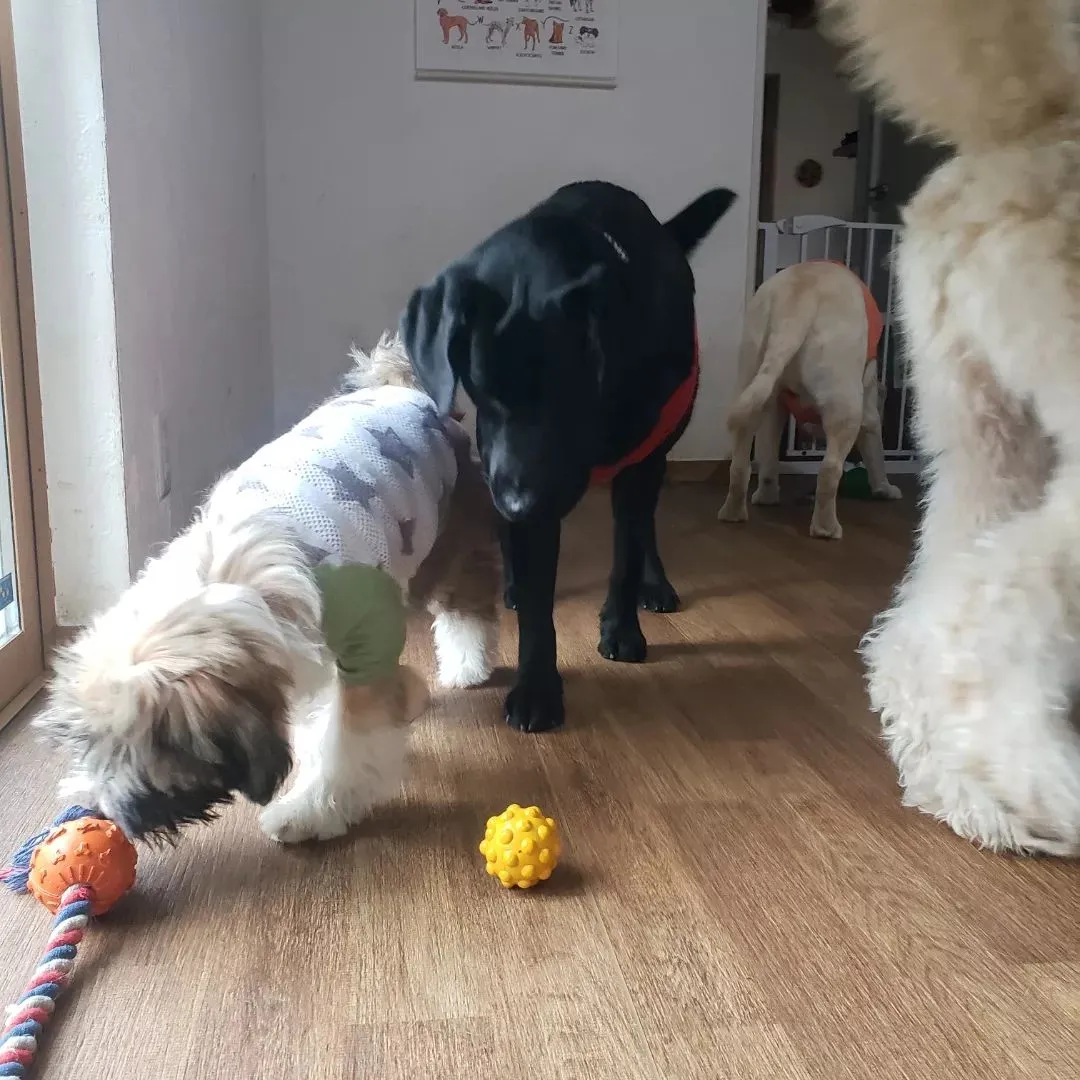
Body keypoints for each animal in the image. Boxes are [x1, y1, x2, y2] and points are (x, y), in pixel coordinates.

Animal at [38, 336, 496, 842]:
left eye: (149, 747)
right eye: (89, 743)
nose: (99, 809)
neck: (230, 580)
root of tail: (400, 387)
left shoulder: (366, 641)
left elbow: (351, 741)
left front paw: (311, 810)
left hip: (444, 533)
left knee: (463, 603)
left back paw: (468, 665)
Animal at [403, 179, 734, 734]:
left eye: (570, 393)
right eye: (479, 388)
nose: (518, 503)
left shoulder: (638, 461)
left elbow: (625, 554)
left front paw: (621, 627)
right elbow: (538, 603)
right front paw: (537, 688)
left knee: (644, 527)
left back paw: (654, 583)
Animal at [721, 261, 898, 540]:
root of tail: (797, 302)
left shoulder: (775, 409)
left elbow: (768, 454)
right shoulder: (869, 414)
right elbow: (877, 455)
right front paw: (885, 489)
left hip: (751, 374)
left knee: (742, 461)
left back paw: (739, 510)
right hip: (844, 402)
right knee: (829, 470)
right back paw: (826, 528)